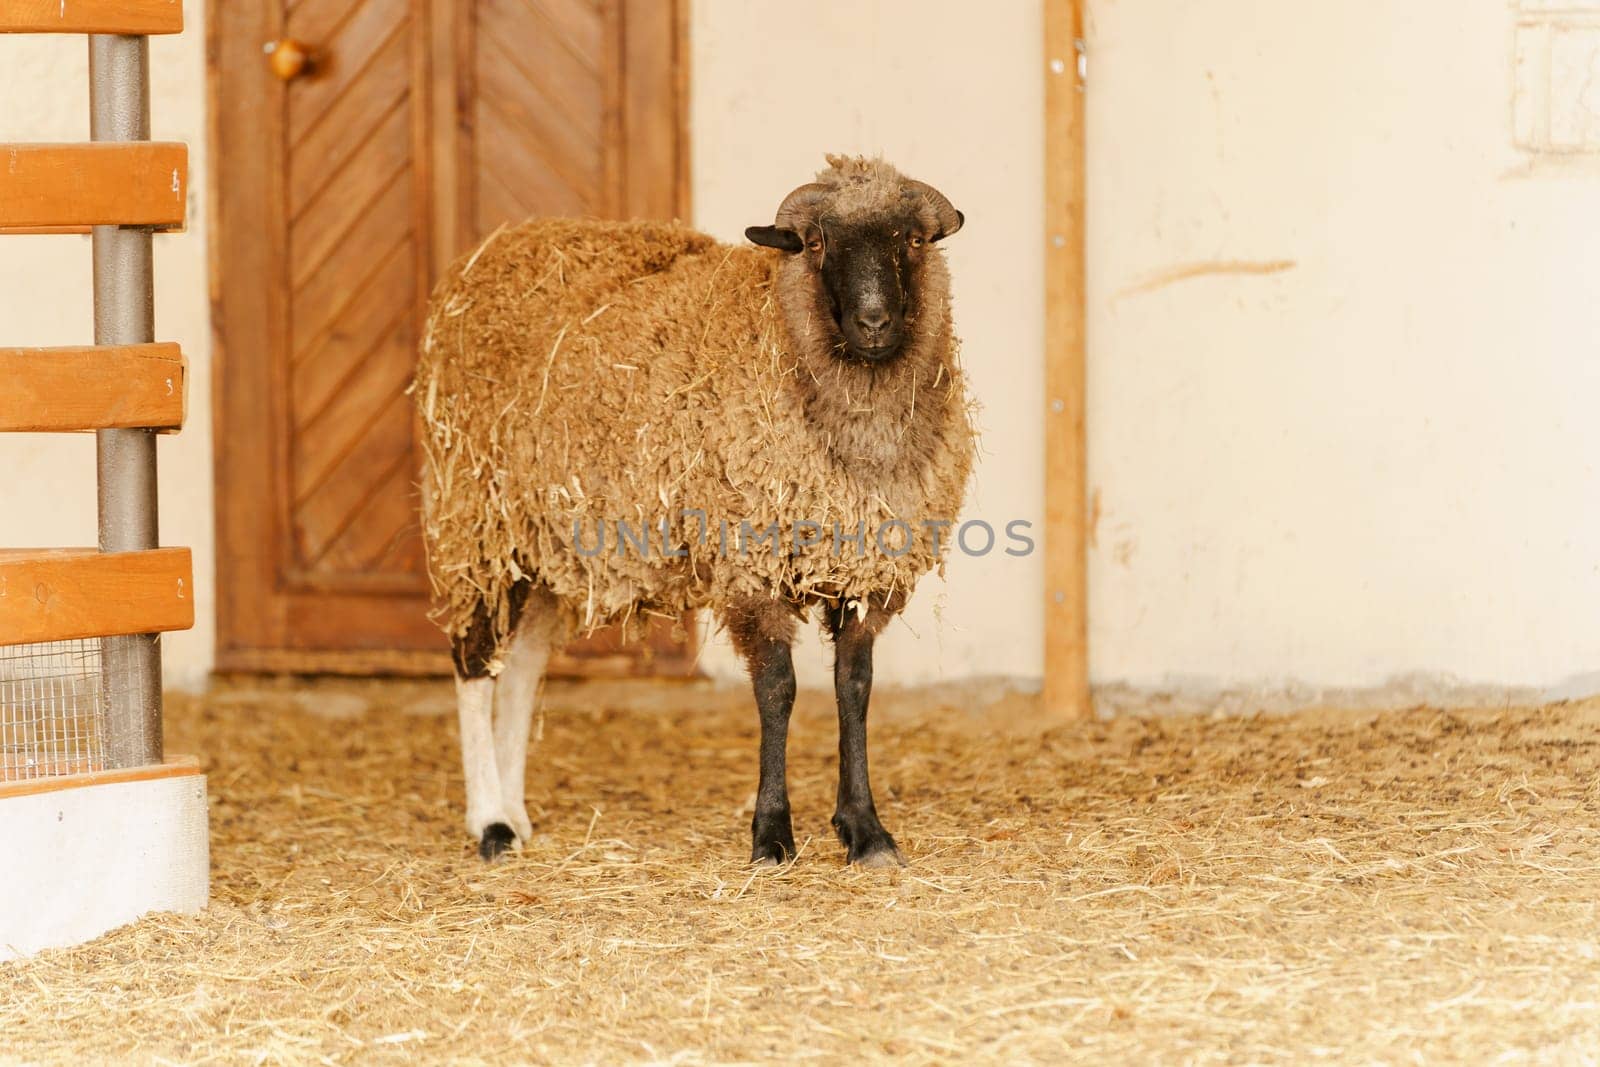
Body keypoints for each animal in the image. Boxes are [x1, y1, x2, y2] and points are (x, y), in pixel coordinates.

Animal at [412, 151, 972, 870]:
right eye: (816, 242)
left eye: (914, 239)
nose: (874, 323)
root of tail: (488, 253)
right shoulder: (752, 562)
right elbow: (778, 690)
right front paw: (772, 836)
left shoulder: (865, 570)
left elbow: (854, 687)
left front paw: (865, 830)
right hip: (477, 525)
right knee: (475, 664)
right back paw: (488, 823)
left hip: (550, 547)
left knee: (522, 671)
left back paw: (515, 816)